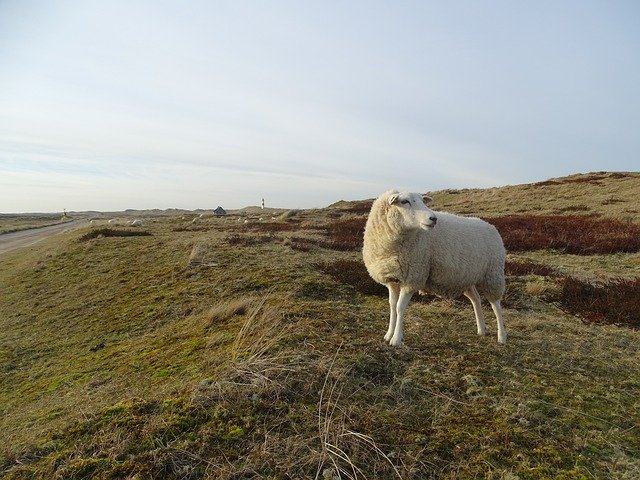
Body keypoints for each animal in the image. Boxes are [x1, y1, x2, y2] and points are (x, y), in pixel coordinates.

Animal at [362, 189, 508, 346]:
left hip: (493, 274)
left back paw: (502, 336)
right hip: (467, 278)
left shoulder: (413, 277)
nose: (433, 218)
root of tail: (490, 226)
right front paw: (389, 334)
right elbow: (392, 306)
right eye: (404, 201)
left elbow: (400, 308)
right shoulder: (392, 280)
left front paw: (396, 339)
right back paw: (481, 329)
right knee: (476, 299)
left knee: (496, 305)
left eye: (422, 201)